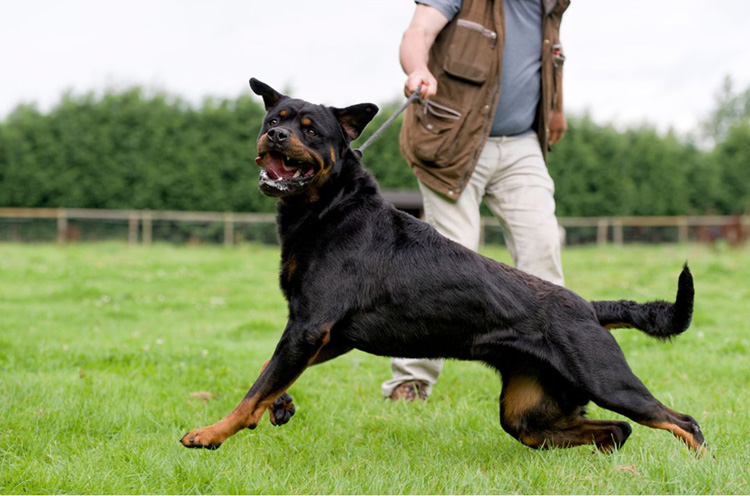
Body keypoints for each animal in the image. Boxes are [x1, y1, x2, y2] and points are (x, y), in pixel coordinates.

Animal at [181, 79, 704, 456]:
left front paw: (210, 433)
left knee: (681, 421)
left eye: (310, 130)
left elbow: (254, 389)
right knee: (612, 429)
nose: (275, 134)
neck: (331, 209)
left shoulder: (310, 326)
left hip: (607, 380)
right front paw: (280, 404)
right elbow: (269, 374)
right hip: (528, 411)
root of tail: (590, 307)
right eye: (275, 118)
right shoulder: (326, 334)